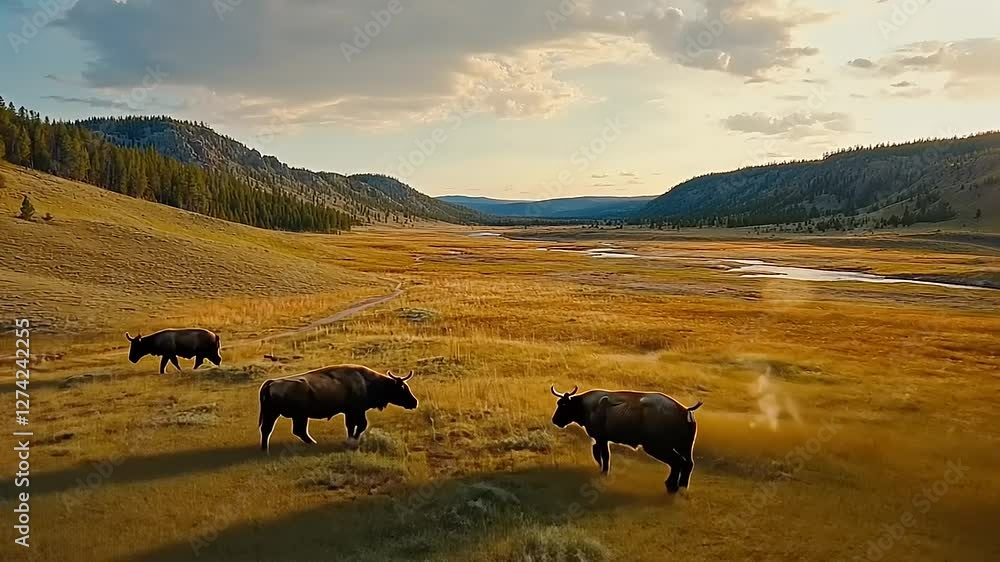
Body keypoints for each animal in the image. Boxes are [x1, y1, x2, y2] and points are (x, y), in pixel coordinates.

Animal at [257, 364, 418, 452]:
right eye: (403, 388)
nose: (415, 402)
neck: (366, 381)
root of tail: (271, 383)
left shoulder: (349, 412)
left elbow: (351, 426)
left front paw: (349, 439)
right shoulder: (357, 411)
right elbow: (360, 425)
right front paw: (353, 440)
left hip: (280, 415)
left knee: (271, 430)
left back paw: (265, 449)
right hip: (293, 415)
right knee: (295, 431)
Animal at [550, 385, 703, 494]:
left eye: (564, 405)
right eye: (558, 403)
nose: (555, 420)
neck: (587, 406)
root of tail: (686, 411)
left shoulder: (601, 438)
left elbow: (604, 457)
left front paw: (604, 473)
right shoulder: (601, 440)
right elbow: (599, 454)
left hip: (656, 447)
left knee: (677, 462)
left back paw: (671, 485)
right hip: (685, 447)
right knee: (688, 464)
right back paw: (681, 487)